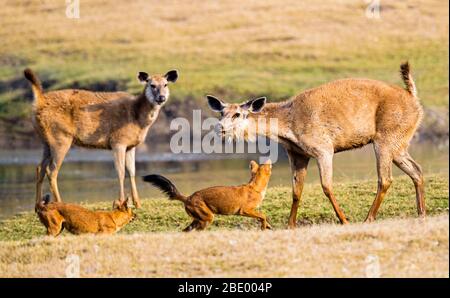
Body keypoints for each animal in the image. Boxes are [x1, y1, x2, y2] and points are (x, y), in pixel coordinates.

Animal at [142, 159, 272, 232]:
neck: (255, 187)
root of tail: (188, 198)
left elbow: (262, 217)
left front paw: (268, 226)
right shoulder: (245, 210)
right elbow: (263, 215)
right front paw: (264, 227)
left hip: (198, 219)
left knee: (186, 231)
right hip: (207, 218)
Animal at [207, 61, 426, 227]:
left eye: (238, 114)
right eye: (221, 112)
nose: (221, 128)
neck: (289, 127)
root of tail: (414, 98)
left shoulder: (323, 148)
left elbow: (326, 186)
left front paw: (344, 220)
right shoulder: (297, 154)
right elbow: (296, 191)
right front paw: (290, 225)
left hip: (386, 138)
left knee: (386, 179)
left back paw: (368, 218)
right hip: (399, 142)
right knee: (416, 170)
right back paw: (421, 213)